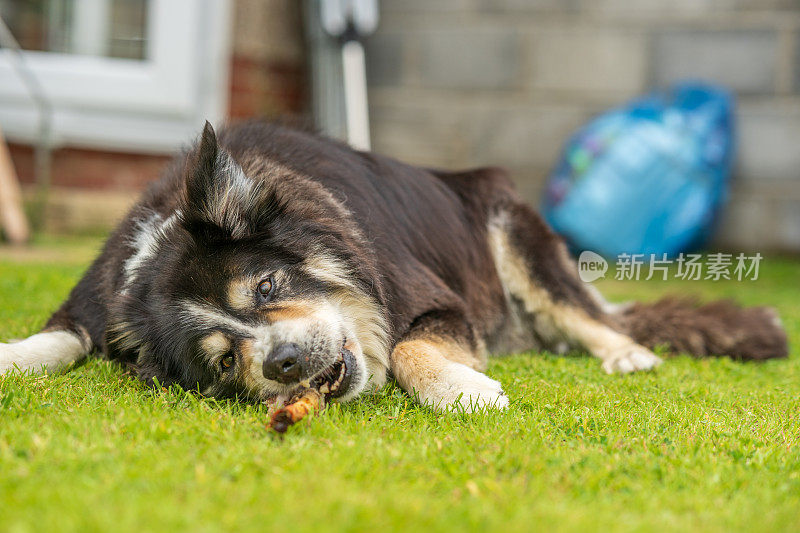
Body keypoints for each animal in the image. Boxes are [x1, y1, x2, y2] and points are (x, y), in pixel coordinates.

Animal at [0, 121, 788, 412]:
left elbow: (410, 347)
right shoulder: (98, 294)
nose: (284, 363)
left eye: (267, 285)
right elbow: (61, 334)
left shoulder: (440, 301)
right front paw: (13, 355)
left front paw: (465, 391)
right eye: (224, 360)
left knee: (587, 312)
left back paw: (625, 352)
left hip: (512, 229)